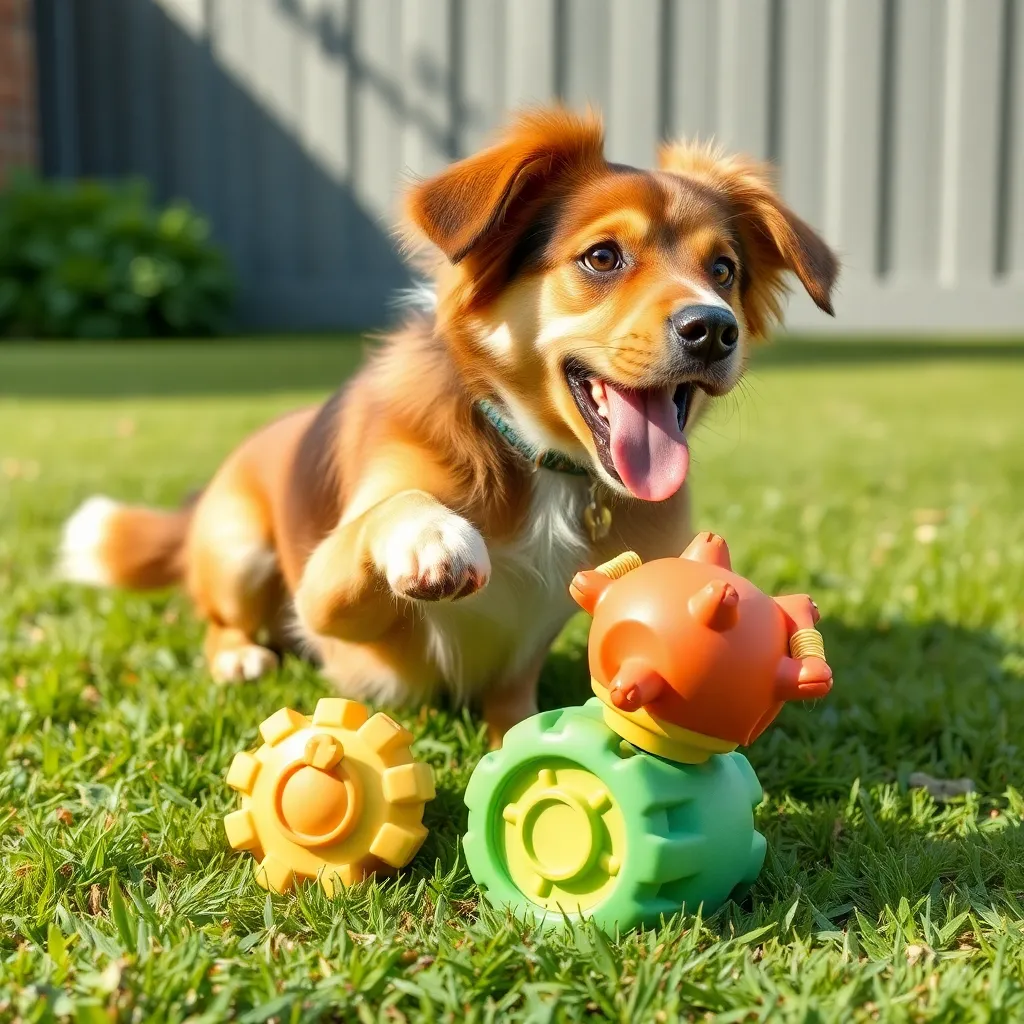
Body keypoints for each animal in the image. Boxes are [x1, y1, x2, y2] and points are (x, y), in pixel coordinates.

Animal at [58, 108, 839, 745]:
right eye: (602, 257)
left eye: (724, 270)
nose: (713, 329)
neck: (544, 467)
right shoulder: (329, 608)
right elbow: (392, 513)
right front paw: (432, 535)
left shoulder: (538, 635)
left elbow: (517, 703)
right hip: (241, 550)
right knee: (217, 620)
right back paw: (240, 655)